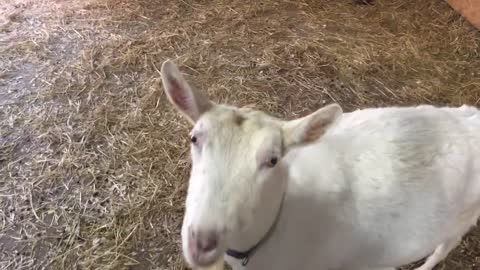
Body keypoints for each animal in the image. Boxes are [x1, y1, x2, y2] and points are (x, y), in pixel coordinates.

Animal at [160, 59, 480, 270]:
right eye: (194, 138)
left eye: (273, 159)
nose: (202, 243)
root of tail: (472, 117)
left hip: (462, 219)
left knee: (442, 249)